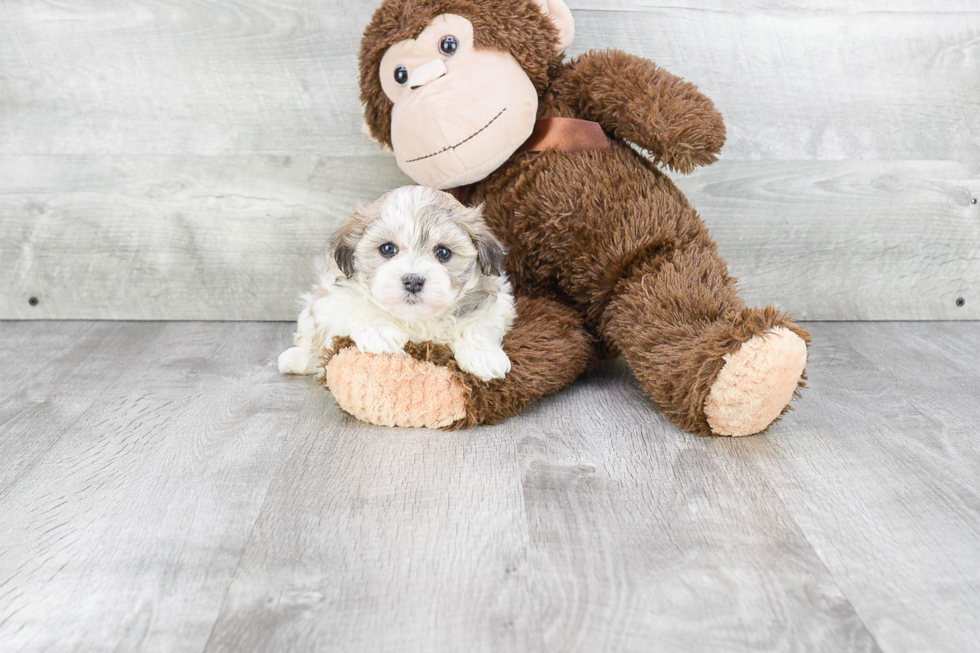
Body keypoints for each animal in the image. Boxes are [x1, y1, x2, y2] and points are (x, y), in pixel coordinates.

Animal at [278, 185, 516, 382]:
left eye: (443, 252)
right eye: (387, 249)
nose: (413, 281)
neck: (414, 319)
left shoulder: (498, 299)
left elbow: (478, 323)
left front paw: (484, 356)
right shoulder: (331, 299)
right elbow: (355, 306)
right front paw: (380, 332)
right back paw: (297, 359)